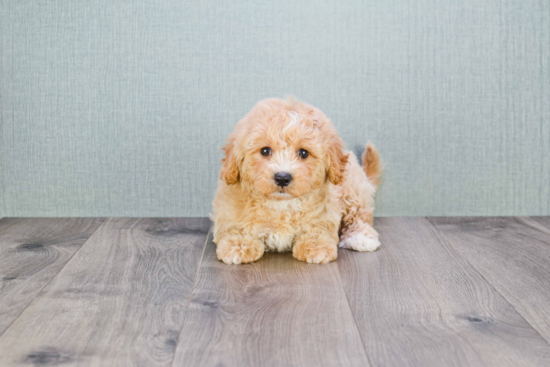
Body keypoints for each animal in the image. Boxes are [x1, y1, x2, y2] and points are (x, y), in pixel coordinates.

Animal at [212, 98, 384, 264]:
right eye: (265, 151)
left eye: (303, 153)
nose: (282, 178)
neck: (281, 204)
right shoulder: (228, 210)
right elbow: (235, 227)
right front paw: (238, 245)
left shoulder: (326, 212)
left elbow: (317, 228)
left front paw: (316, 246)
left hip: (353, 190)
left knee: (360, 216)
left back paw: (360, 237)